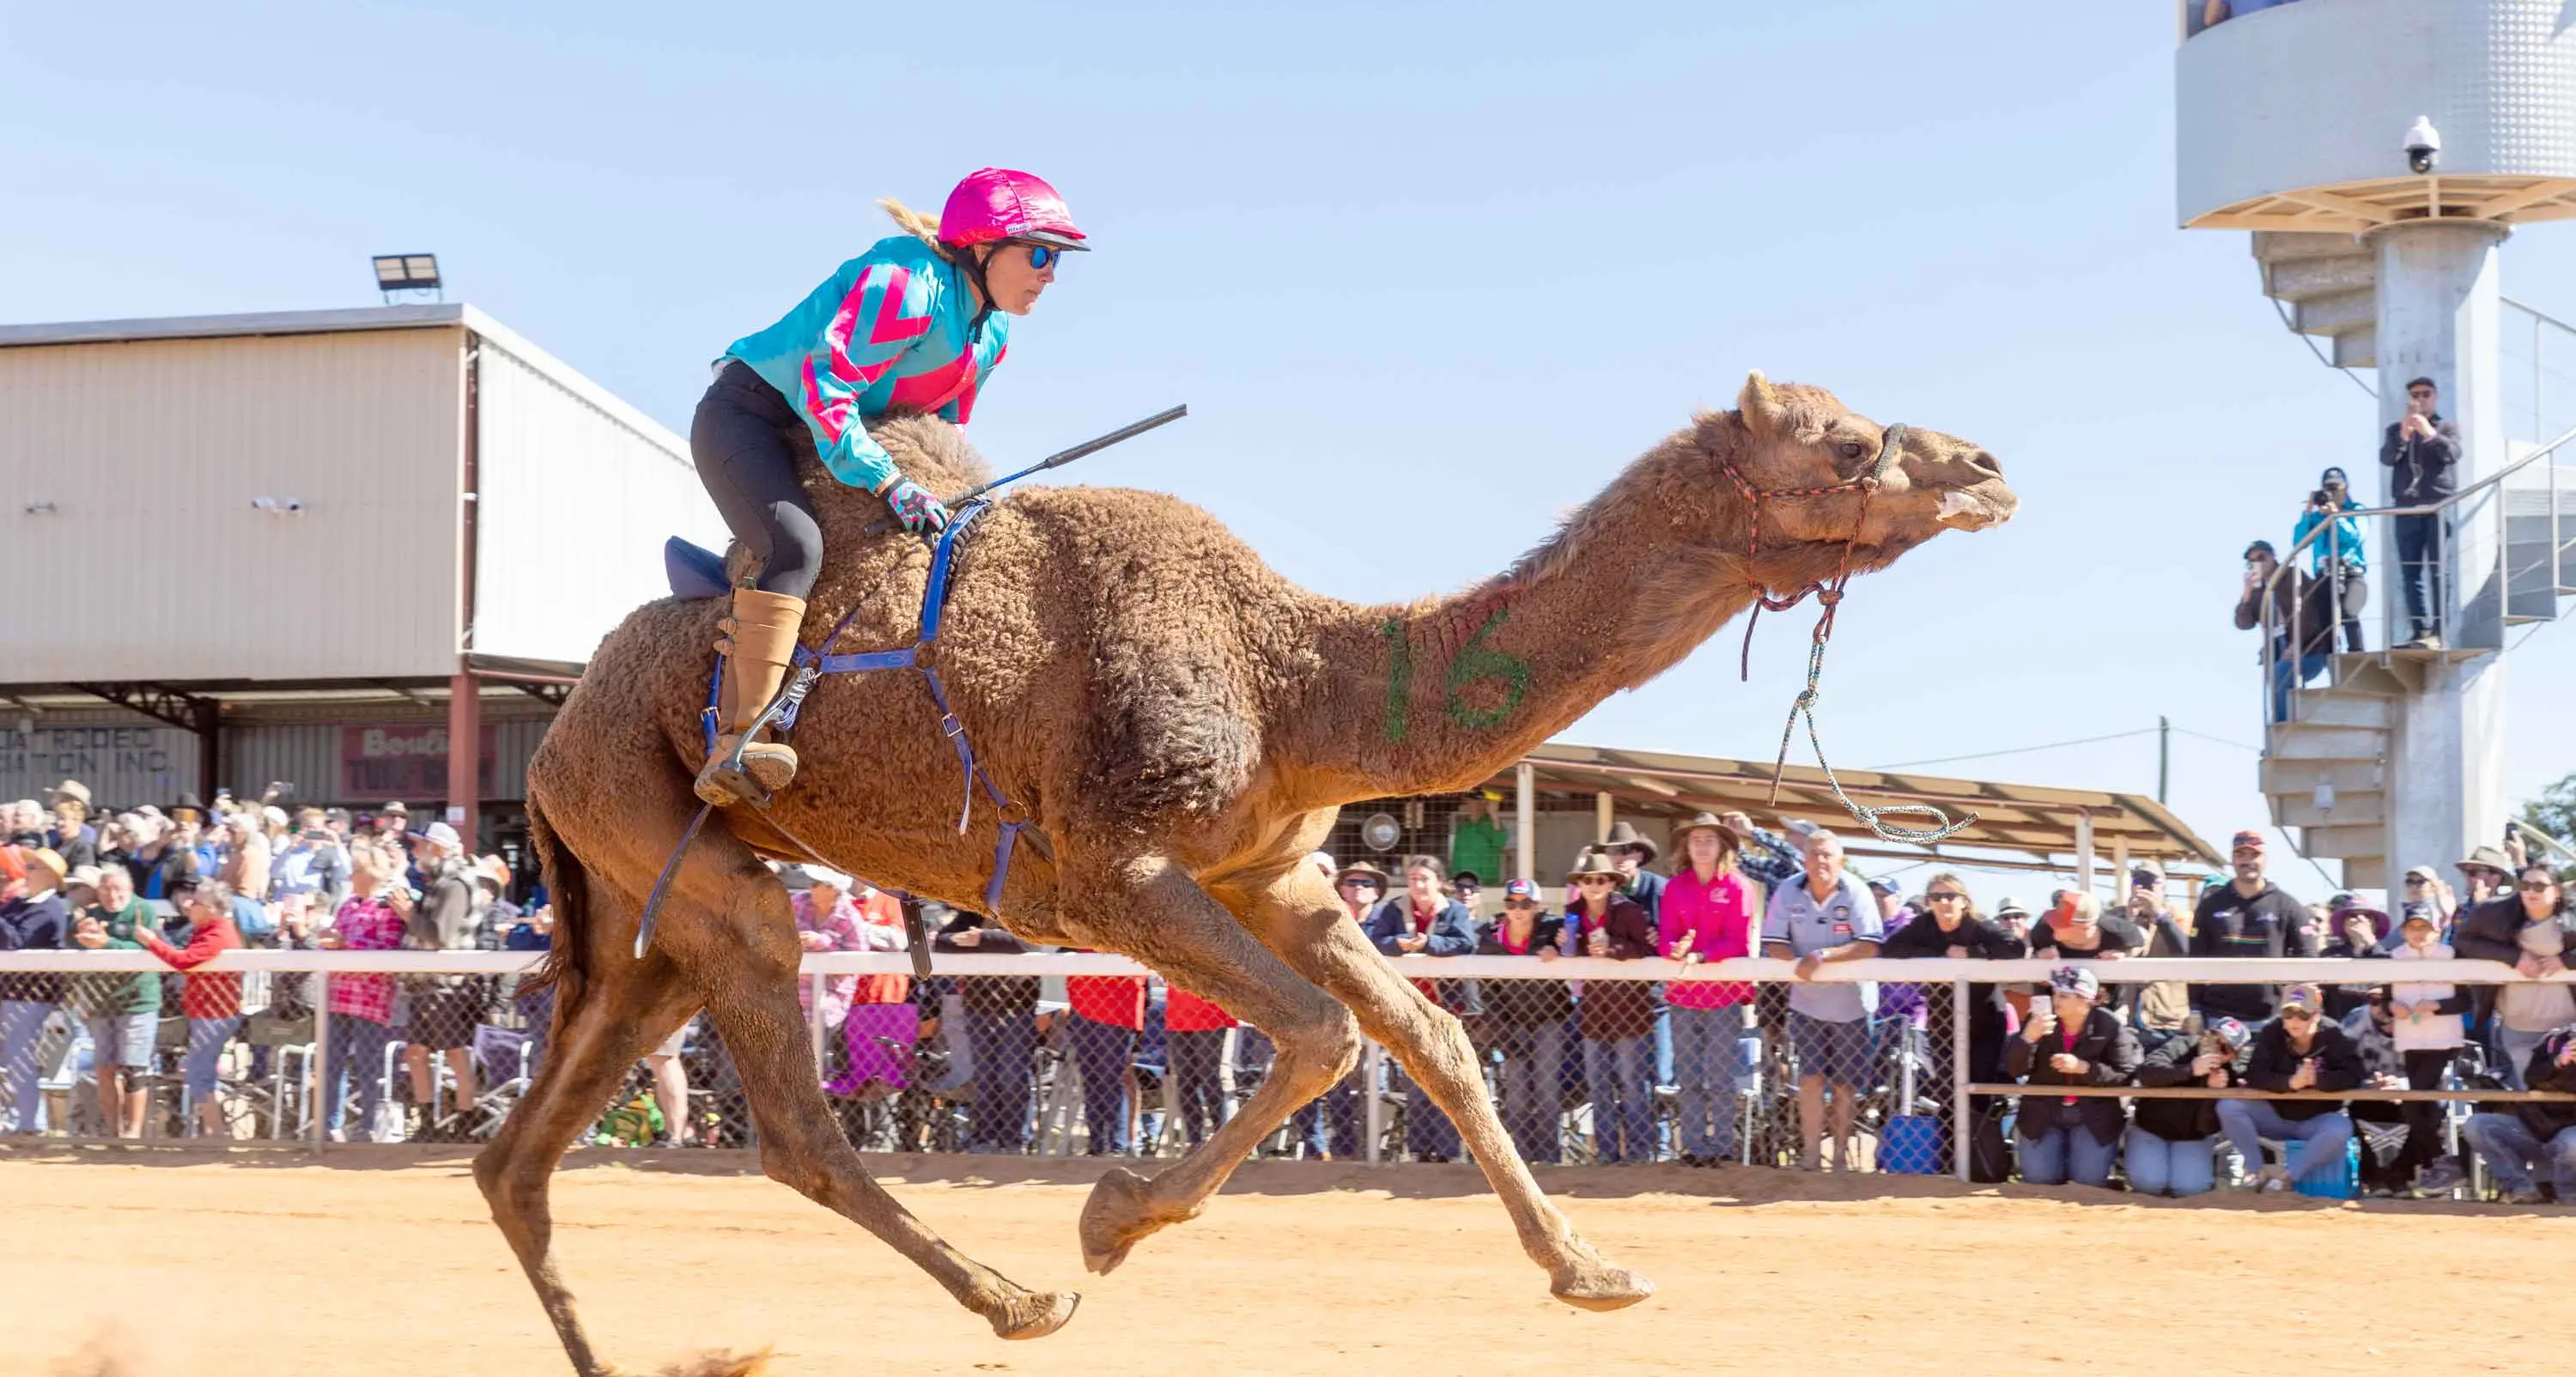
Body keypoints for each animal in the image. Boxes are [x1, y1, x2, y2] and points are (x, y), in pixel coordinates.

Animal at [475, 371, 2016, 1375]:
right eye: (1847, 441)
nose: (1987, 469)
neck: (1296, 678)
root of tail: (550, 733)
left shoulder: (1277, 874)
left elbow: (1436, 1037)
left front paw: (1592, 1269)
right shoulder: (1104, 871)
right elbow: (1329, 1036)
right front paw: (1110, 1216)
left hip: (646, 909)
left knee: (520, 1151)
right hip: (688, 858)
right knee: (787, 1125)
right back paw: (1023, 1299)